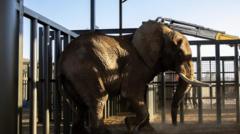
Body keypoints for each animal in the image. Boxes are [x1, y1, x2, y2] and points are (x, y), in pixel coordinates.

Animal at [58, 19, 210, 134]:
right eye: (179, 54)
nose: (175, 126)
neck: (163, 32)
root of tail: (62, 58)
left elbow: (142, 95)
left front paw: (147, 129)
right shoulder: (134, 66)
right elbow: (130, 93)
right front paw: (129, 125)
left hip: (74, 77)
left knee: (81, 105)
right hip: (85, 70)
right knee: (98, 98)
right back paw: (105, 132)